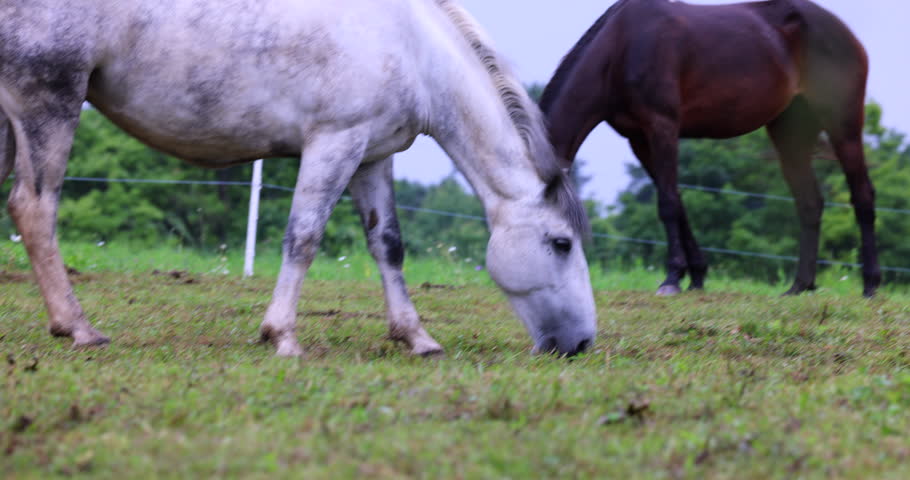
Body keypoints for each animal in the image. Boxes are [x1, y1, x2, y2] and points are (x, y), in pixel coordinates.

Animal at [0, 0, 597, 357]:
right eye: (561, 243)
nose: (581, 342)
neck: (412, 46)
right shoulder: (334, 143)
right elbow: (304, 238)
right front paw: (281, 335)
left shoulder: (371, 156)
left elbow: (388, 245)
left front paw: (416, 337)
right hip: (49, 100)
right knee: (35, 207)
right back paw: (77, 328)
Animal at [540, 0, 880, 297]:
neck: (620, 48)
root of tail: (847, 35)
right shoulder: (639, 140)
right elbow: (677, 201)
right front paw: (697, 275)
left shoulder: (662, 127)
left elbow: (667, 203)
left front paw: (672, 279)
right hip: (789, 134)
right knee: (810, 203)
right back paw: (800, 286)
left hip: (843, 125)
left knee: (862, 194)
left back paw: (870, 285)